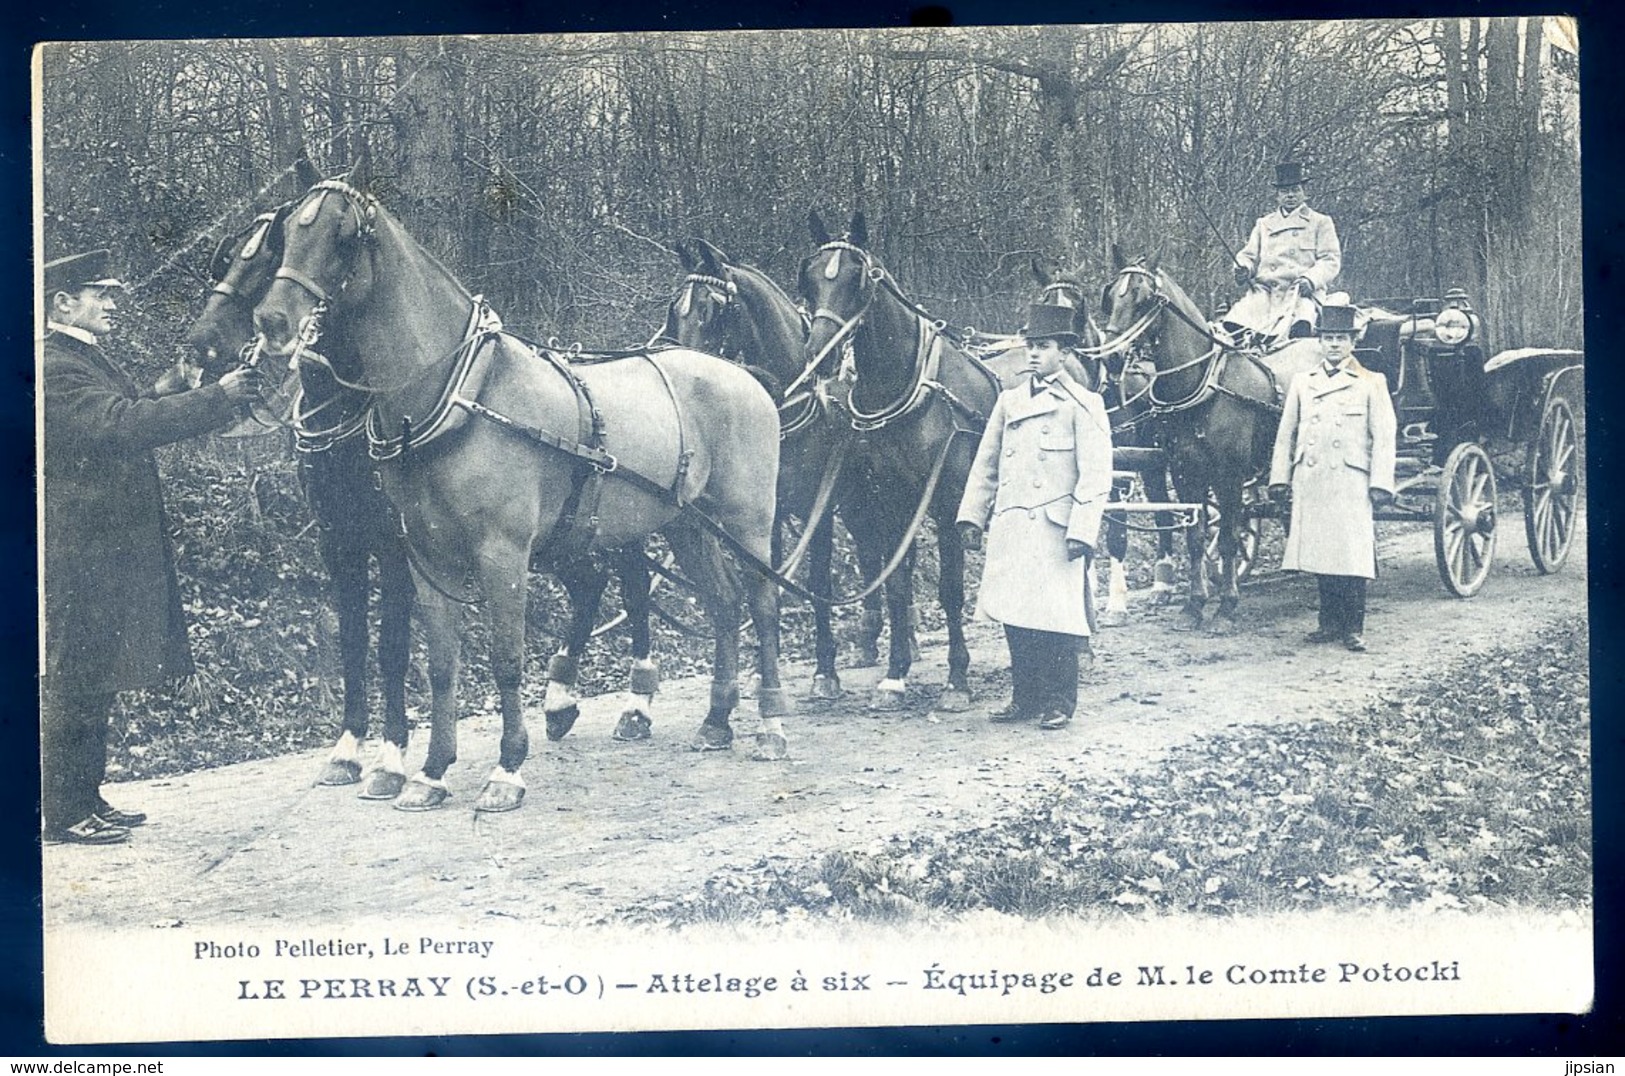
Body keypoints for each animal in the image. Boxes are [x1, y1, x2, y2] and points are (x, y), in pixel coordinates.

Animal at [250, 178, 789, 819]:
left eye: (342, 236)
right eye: (286, 233)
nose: (273, 320)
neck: (462, 394)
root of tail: (741, 374)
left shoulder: (500, 554)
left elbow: (505, 660)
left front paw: (506, 769)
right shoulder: (425, 556)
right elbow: (440, 664)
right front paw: (430, 772)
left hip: (748, 522)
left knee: (762, 603)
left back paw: (769, 725)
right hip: (685, 525)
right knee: (724, 604)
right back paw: (715, 721)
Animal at [659, 235, 916, 698]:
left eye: (711, 310)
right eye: (676, 310)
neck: (788, 398)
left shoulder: (819, 506)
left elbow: (817, 582)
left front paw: (825, 671)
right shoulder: (771, 511)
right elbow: (771, 577)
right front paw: (767, 668)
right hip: (857, 500)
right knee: (871, 550)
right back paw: (870, 637)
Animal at [793, 212, 994, 715]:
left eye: (857, 279)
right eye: (809, 277)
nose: (819, 356)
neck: (903, 385)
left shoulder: (948, 505)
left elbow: (949, 589)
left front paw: (956, 680)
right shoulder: (890, 504)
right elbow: (896, 584)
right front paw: (894, 675)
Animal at [1092, 243, 1319, 633]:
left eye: (1144, 298)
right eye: (1110, 296)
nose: (1114, 357)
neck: (1205, 384)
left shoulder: (1229, 474)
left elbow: (1226, 538)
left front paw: (1226, 606)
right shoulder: (1186, 472)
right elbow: (1196, 538)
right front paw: (1194, 605)